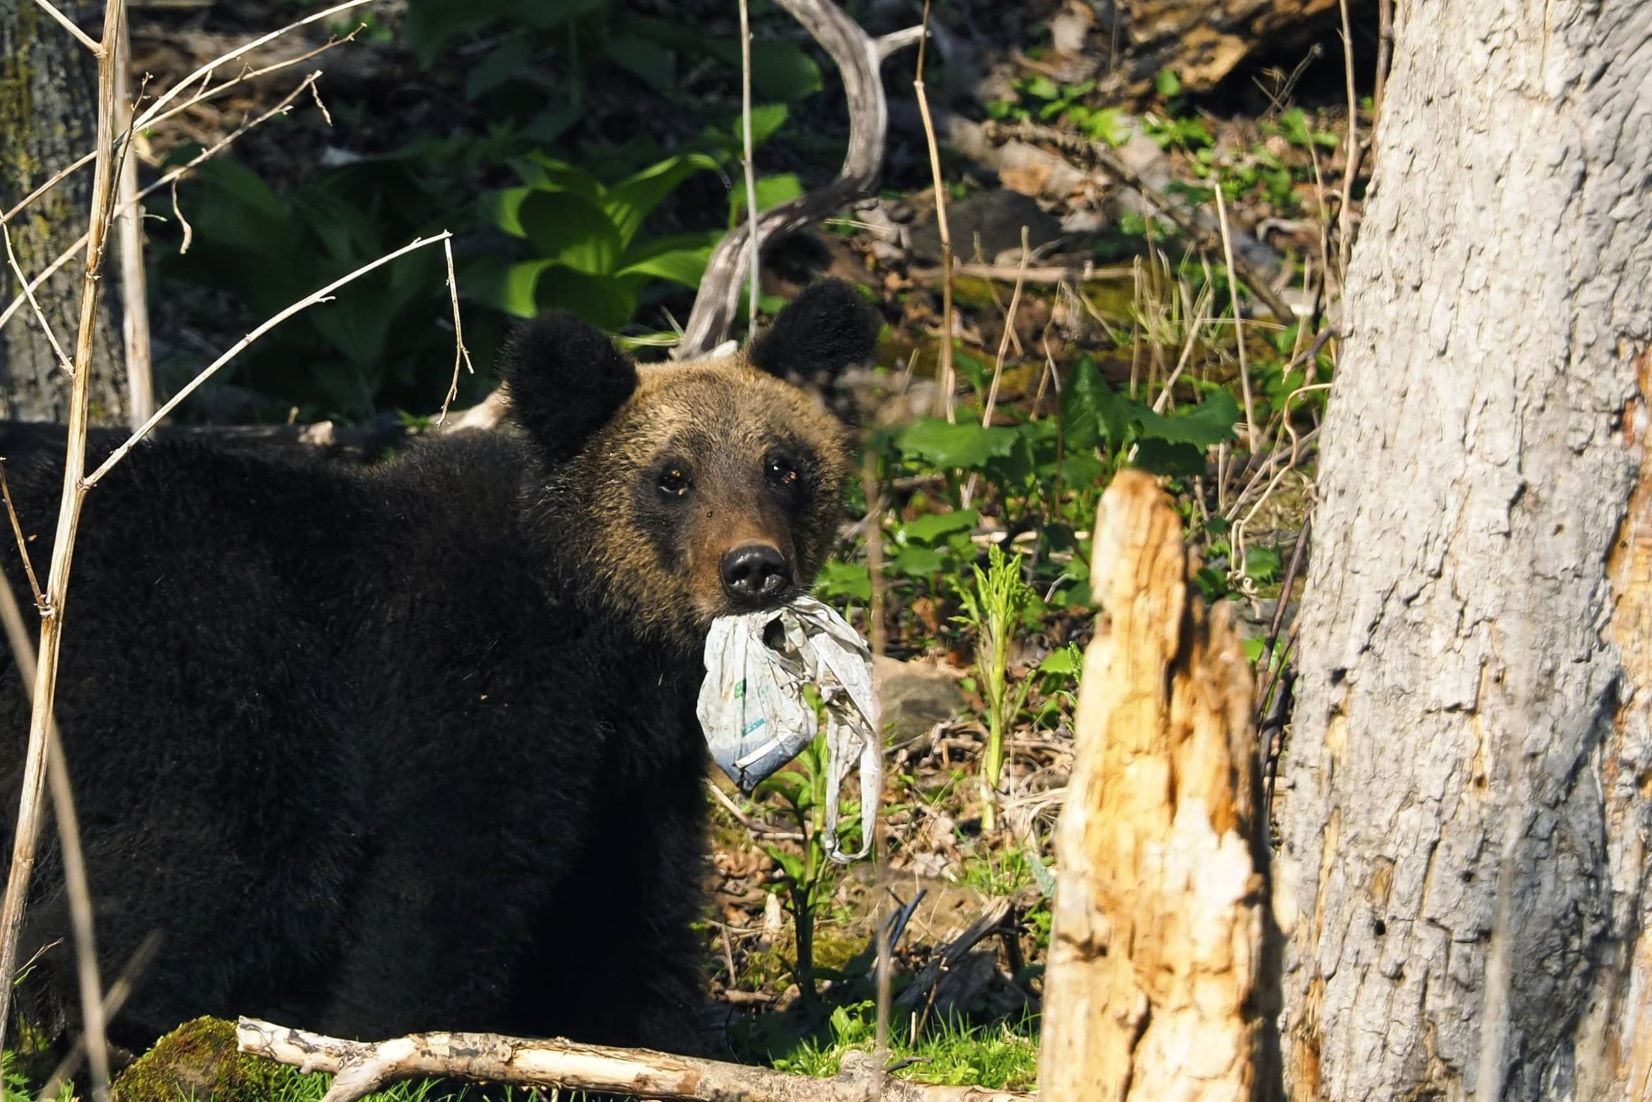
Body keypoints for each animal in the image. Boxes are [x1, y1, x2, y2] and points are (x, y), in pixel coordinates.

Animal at [0, 280, 878, 1057]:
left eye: (783, 465)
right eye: (672, 477)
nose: (753, 567)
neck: (601, 629)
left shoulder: (635, 767)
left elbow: (627, 907)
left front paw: (657, 1037)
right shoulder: (470, 672)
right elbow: (443, 877)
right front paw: (382, 1041)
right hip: (190, 659)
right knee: (245, 846)